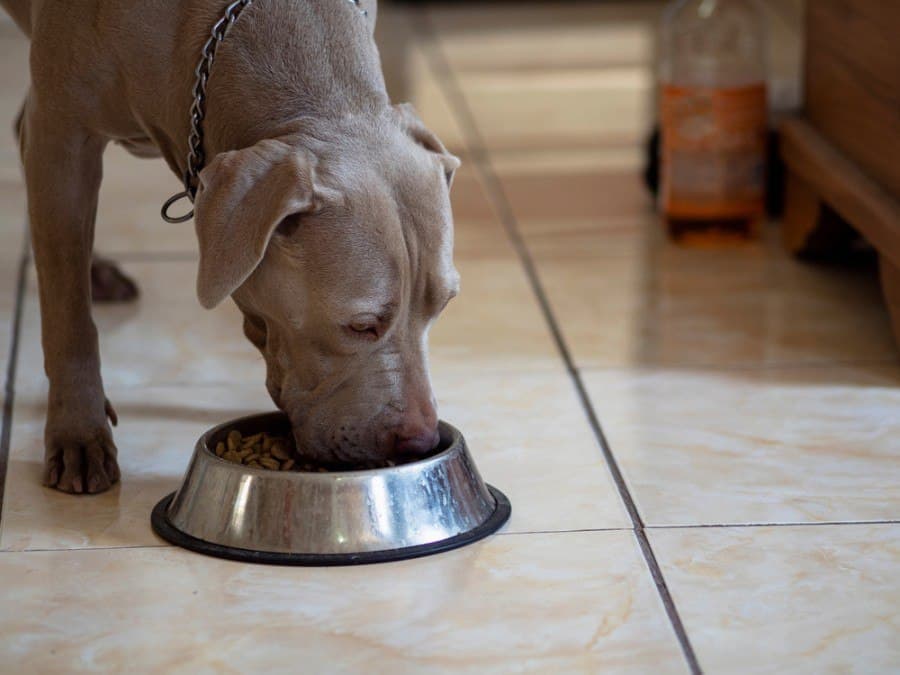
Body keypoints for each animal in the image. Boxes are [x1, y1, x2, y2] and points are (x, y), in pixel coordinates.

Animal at [1, 1, 458, 496]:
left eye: (441, 307)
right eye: (360, 326)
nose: (419, 440)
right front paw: (79, 432)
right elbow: (68, 315)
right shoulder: (62, 138)